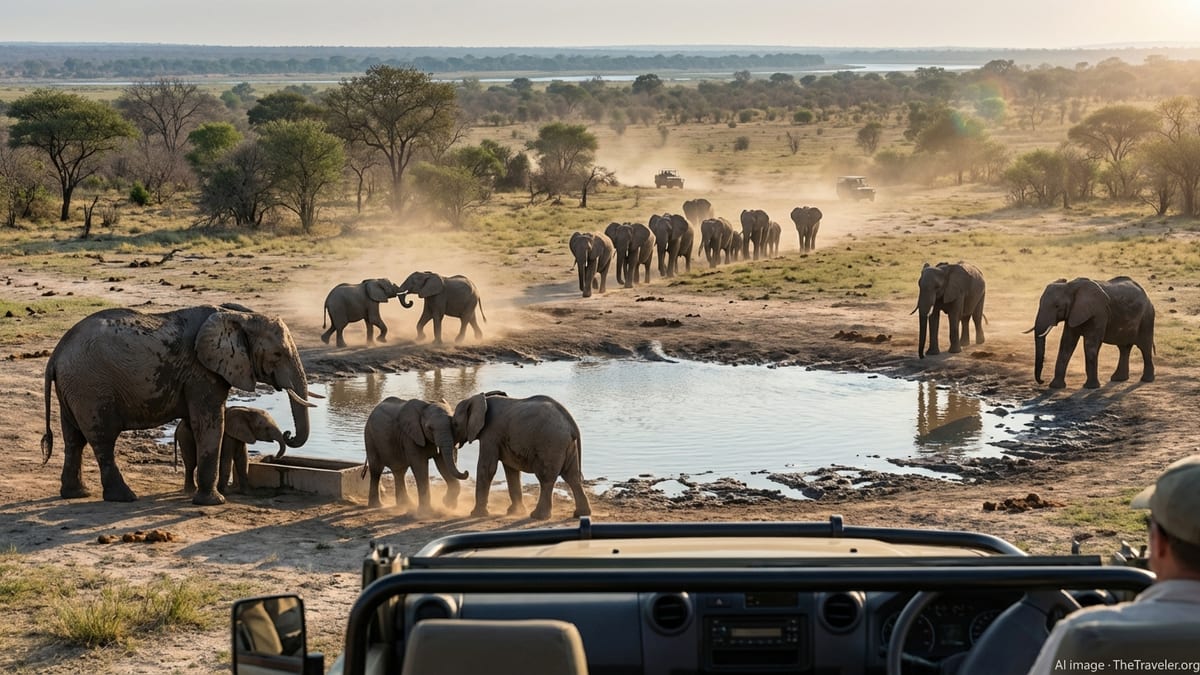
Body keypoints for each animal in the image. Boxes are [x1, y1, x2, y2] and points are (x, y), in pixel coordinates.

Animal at [41, 305, 312, 505]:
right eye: (278, 354)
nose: (288, 434)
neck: (239, 317)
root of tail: (56, 354)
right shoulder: (201, 372)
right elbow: (209, 423)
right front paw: (213, 502)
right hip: (91, 387)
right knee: (102, 439)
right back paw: (124, 497)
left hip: (75, 387)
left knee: (74, 439)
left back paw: (77, 494)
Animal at [453, 392, 590, 520]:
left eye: (455, 424)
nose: (466, 472)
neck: (481, 398)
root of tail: (571, 423)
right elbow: (511, 470)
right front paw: (514, 512)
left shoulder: (490, 434)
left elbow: (487, 468)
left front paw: (476, 515)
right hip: (567, 445)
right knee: (572, 477)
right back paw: (581, 514)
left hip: (551, 443)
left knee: (546, 478)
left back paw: (538, 516)